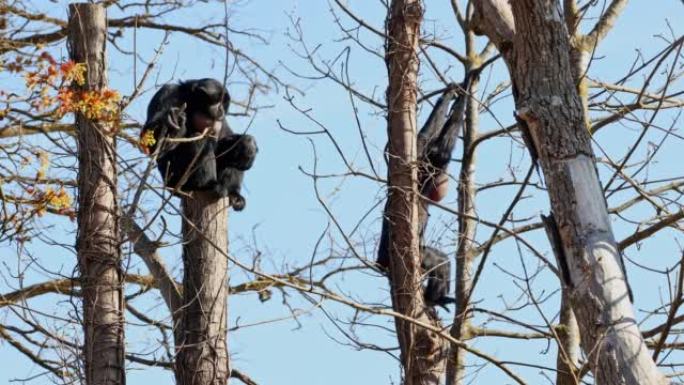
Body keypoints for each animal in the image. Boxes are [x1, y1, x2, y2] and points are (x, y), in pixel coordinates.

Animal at [141, 78, 256, 210]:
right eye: (218, 102)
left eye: (223, 104)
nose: (221, 109)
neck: (192, 103)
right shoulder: (168, 92)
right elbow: (153, 145)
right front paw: (173, 122)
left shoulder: (219, 120)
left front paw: (247, 144)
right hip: (174, 179)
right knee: (197, 139)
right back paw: (205, 185)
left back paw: (234, 194)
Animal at [376, 74, 472, 308]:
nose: (444, 181)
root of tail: (380, 263)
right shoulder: (430, 166)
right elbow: (442, 149)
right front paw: (465, 87)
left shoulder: (419, 157)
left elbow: (423, 136)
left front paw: (449, 93)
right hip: (411, 256)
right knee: (436, 262)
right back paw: (433, 298)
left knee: (442, 263)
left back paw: (437, 298)